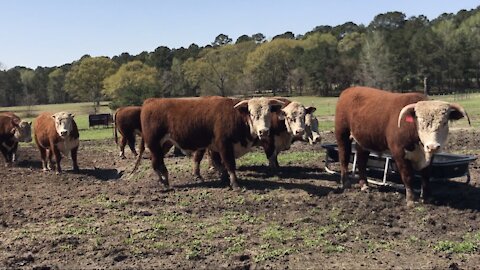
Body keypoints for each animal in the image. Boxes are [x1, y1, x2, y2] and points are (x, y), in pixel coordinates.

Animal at [133, 96, 284, 189]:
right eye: (252, 114)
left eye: (268, 113)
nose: (263, 131)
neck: (236, 116)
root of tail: (150, 101)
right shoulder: (225, 146)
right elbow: (229, 164)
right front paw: (235, 184)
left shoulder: (216, 148)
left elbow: (220, 165)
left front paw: (224, 179)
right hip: (154, 143)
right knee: (156, 163)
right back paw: (163, 181)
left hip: (164, 144)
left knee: (157, 162)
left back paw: (165, 179)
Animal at [334, 86, 468, 207]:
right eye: (420, 122)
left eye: (444, 122)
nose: (432, 146)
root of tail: (349, 90)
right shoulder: (399, 153)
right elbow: (407, 176)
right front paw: (411, 200)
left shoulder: (429, 157)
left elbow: (426, 176)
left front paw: (426, 198)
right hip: (342, 134)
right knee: (344, 156)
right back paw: (346, 183)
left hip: (364, 141)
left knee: (361, 160)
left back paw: (364, 185)